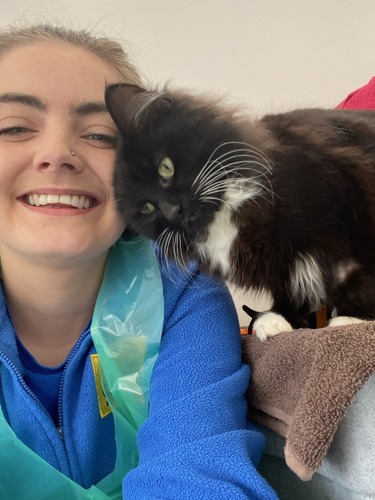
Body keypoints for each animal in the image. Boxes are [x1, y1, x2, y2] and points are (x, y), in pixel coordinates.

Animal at [104, 84, 375, 340]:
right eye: (147, 208)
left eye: (165, 168)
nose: (172, 211)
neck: (223, 215)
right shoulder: (282, 263)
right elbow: (289, 286)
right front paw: (278, 318)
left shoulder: (353, 213)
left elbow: (356, 272)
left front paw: (351, 318)